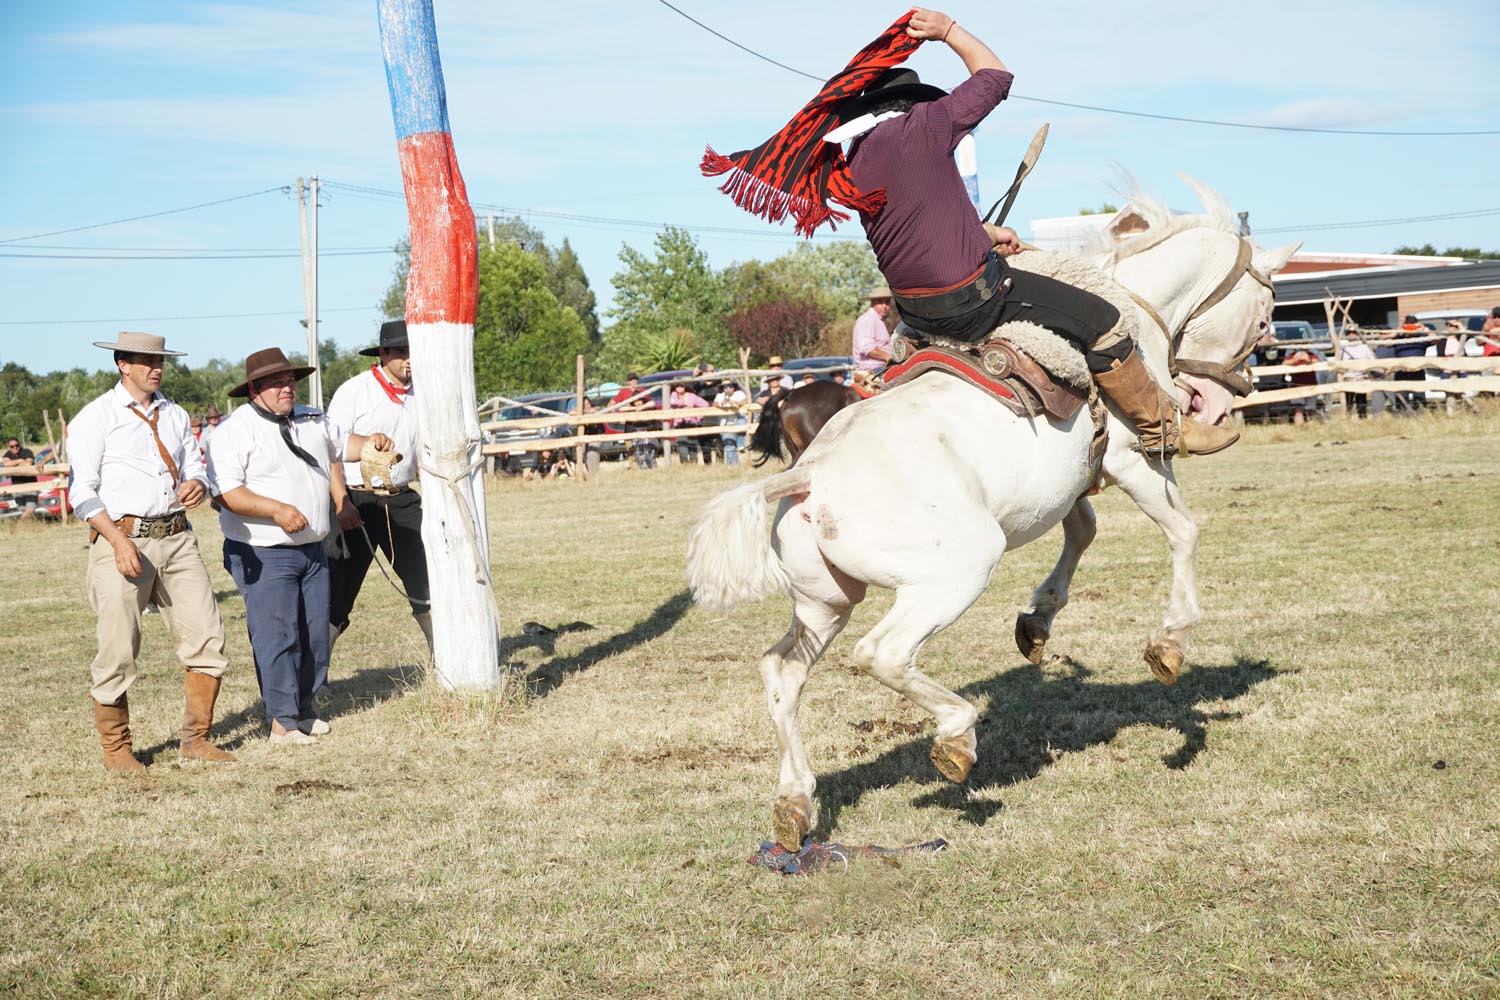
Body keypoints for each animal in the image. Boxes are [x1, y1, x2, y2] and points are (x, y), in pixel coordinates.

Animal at [685, 178, 1298, 849]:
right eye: (1263, 319)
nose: (1215, 406)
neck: (1137, 310)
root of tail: (812, 475)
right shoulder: (1133, 462)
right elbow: (1183, 530)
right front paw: (1169, 644)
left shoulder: (1070, 482)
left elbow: (1084, 531)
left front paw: (1038, 620)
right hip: (957, 572)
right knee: (883, 654)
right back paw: (956, 735)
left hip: (826, 601)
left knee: (782, 672)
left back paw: (794, 802)